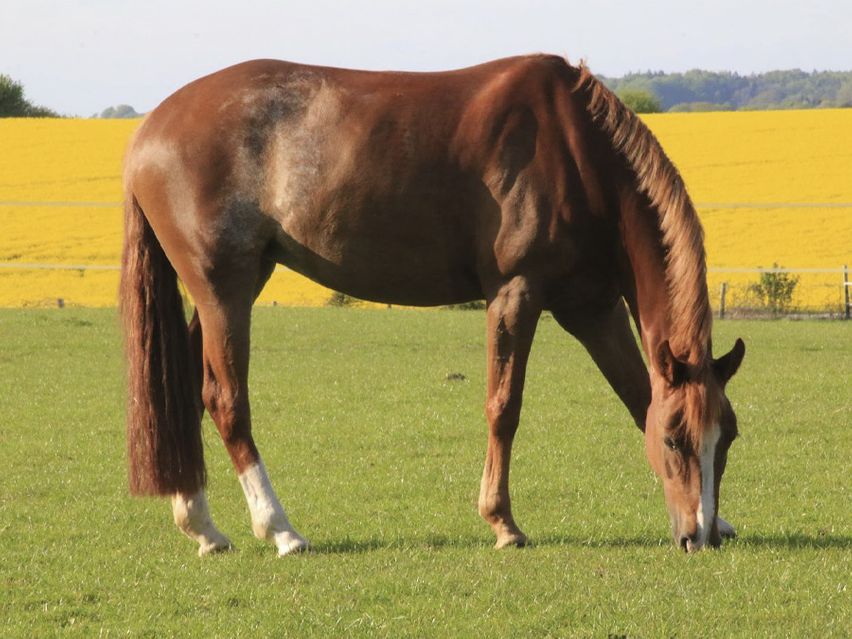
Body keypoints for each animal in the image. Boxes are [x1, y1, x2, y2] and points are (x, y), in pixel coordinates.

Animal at [120, 55, 744, 556]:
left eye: (728, 436)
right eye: (676, 440)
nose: (698, 536)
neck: (573, 150)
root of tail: (150, 129)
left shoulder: (593, 309)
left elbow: (640, 398)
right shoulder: (515, 293)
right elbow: (504, 406)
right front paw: (502, 523)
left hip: (234, 287)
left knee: (188, 393)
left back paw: (203, 527)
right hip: (224, 290)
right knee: (227, 401)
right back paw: (280, 529)